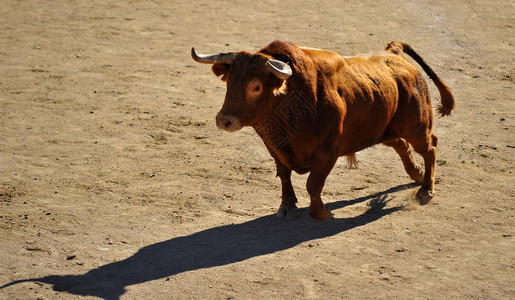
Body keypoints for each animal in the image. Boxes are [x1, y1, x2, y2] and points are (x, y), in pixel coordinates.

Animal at [190, 39, 456, 219]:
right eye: (230, 83)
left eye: (256, 87)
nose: (224, 120)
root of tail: (394, 53)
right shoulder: (273, 146)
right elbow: (284, 174)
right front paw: (287, 206)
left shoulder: (330, 150)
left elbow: (313, 183)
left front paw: (321, 212)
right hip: (383, 129)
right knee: (401, 144)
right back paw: (417, 173)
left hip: (416, 126)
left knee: (430, 147)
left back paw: (426, 189)